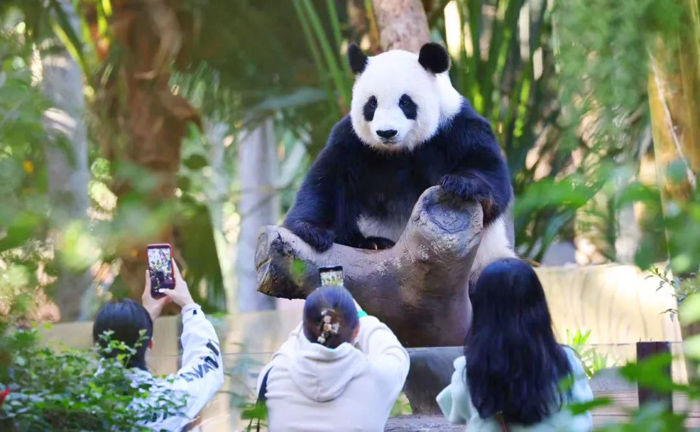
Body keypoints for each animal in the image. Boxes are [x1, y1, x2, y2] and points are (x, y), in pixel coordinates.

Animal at [284, 43, 516, 280]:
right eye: (372, 104)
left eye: (405, 102)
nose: (386, 132)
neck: (399, 150)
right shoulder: (353, 141)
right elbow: (328, 180)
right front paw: (312, 231)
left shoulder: (459, 128)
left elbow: (491, 176)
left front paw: (460, 184)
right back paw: (374, 243)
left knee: (506, 272)